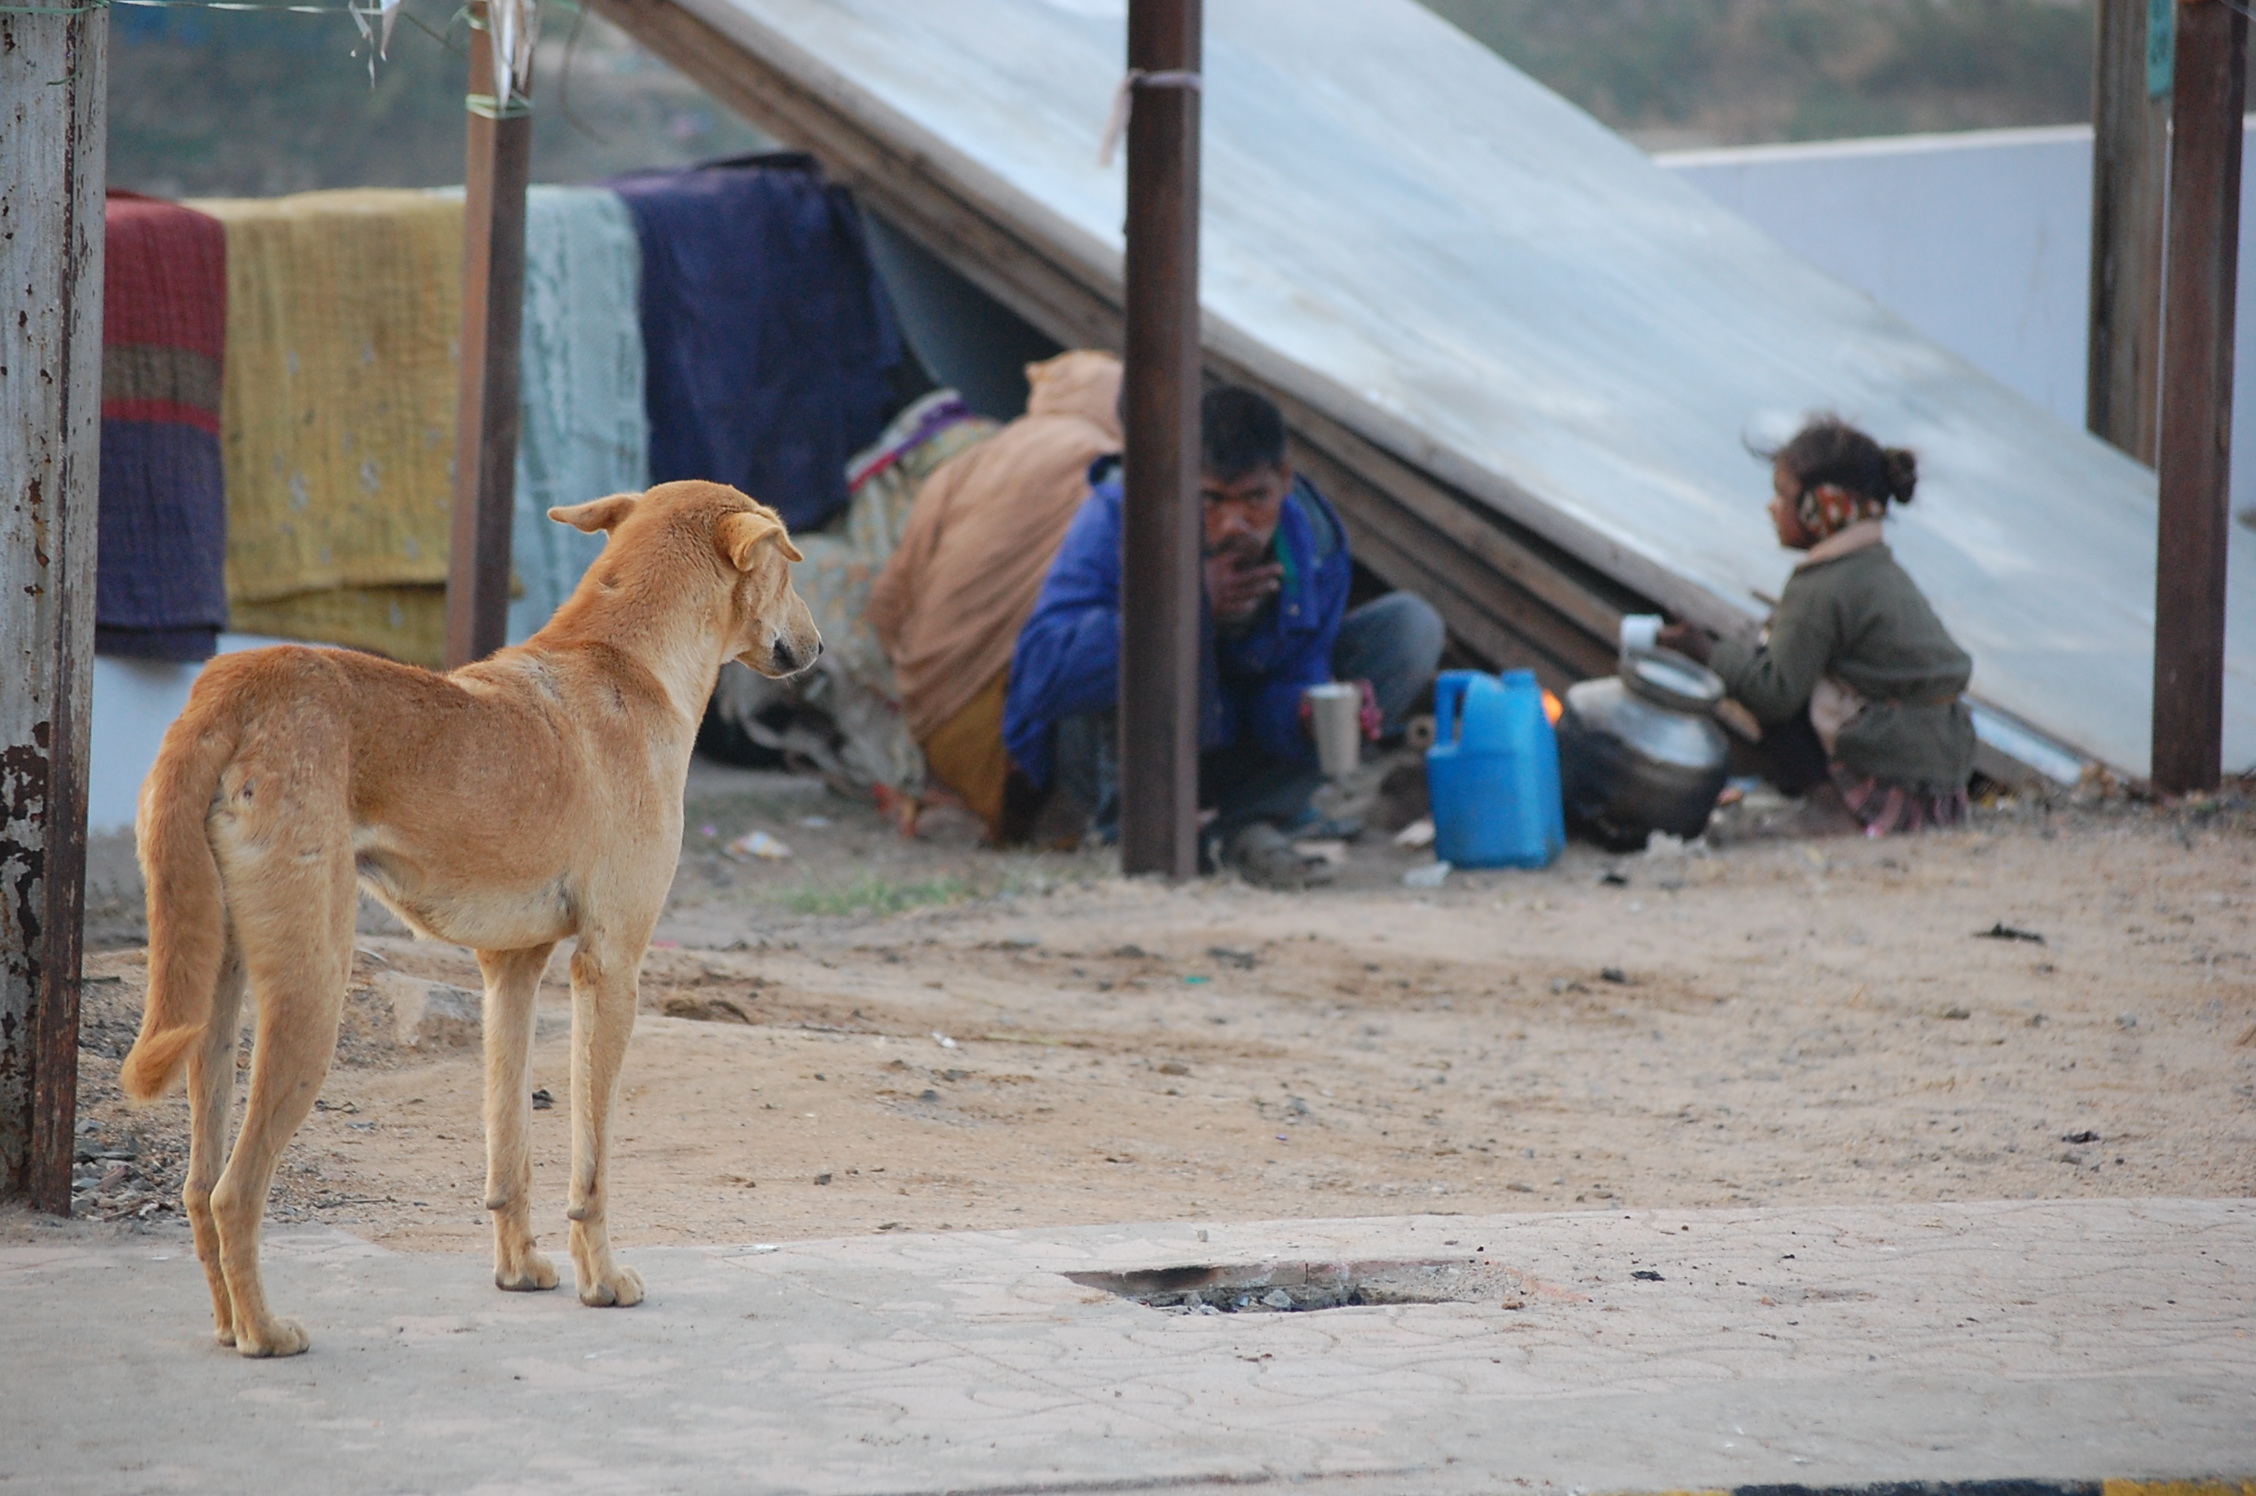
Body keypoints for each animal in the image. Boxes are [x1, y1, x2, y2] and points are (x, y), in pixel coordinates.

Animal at [116, 480, 821, 1353]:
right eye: (789, 564)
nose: (819, 645)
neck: (627, 663)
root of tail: (236, 679)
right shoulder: (611, 968)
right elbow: (592, 1164)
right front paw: (601, 1280)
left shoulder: (510, 972)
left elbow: (508, 1149)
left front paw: (518, 1269)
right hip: (314, 992)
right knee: (234, 1192)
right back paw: (265, 1333)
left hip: (212, 992)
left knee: (197, 1185)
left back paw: (226, 1323)